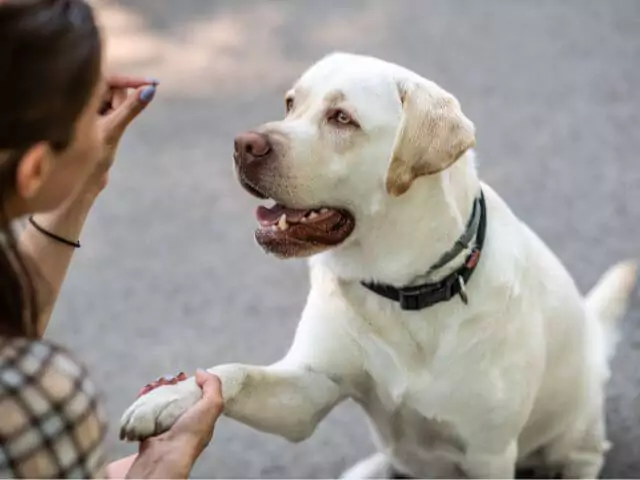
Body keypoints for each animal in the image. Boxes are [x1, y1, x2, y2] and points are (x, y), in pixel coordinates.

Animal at [119, 50, 636, 478]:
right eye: (290, 103)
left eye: (342, 118)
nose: (243, 144)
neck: (401, 289)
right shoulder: (307, 392)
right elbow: (234, 372)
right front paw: (170, 397)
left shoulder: (488, 453)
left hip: (575, 435)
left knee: (583, 457)